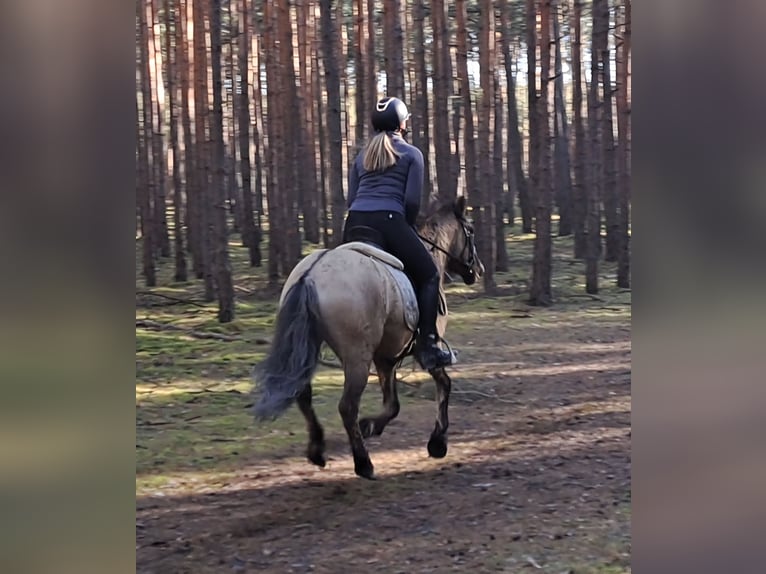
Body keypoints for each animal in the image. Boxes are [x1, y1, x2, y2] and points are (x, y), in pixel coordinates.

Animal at [252, 196, 484, 479]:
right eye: (470, 230)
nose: (478, 270)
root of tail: (311, 275)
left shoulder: (386, 357)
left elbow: (393, 404)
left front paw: (371, 426)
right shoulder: (423, 349)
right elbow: (443, 384)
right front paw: (437, 443)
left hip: (308, 347)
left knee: (303, 394)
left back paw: (318, 450)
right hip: (357, 357)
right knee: (347, 406)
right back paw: (363, 463)